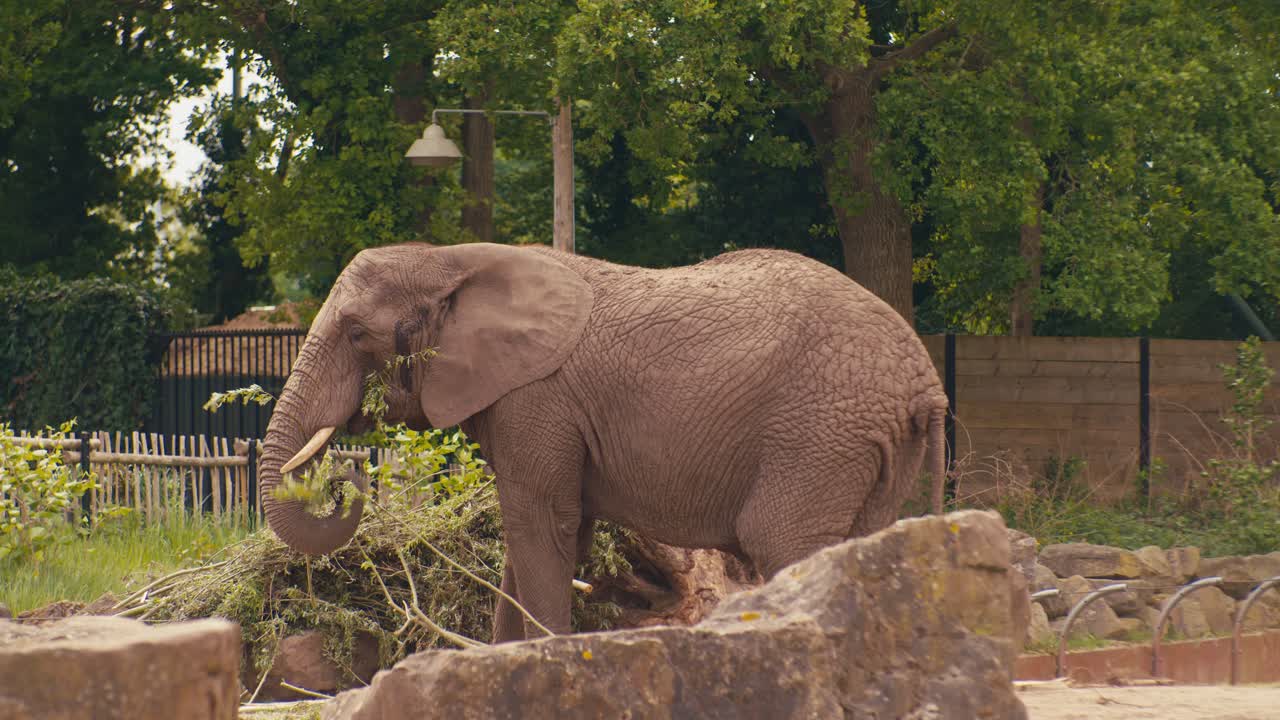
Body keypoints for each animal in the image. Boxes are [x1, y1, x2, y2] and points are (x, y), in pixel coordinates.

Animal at [259, 241, 949, 643]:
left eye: (355, 333)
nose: (345, 475)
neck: (452, 256)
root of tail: (925, 382)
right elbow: (540, 536)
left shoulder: (537, 400)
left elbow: (542, 526)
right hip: (863, 445)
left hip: (820, 433)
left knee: (784, 540)